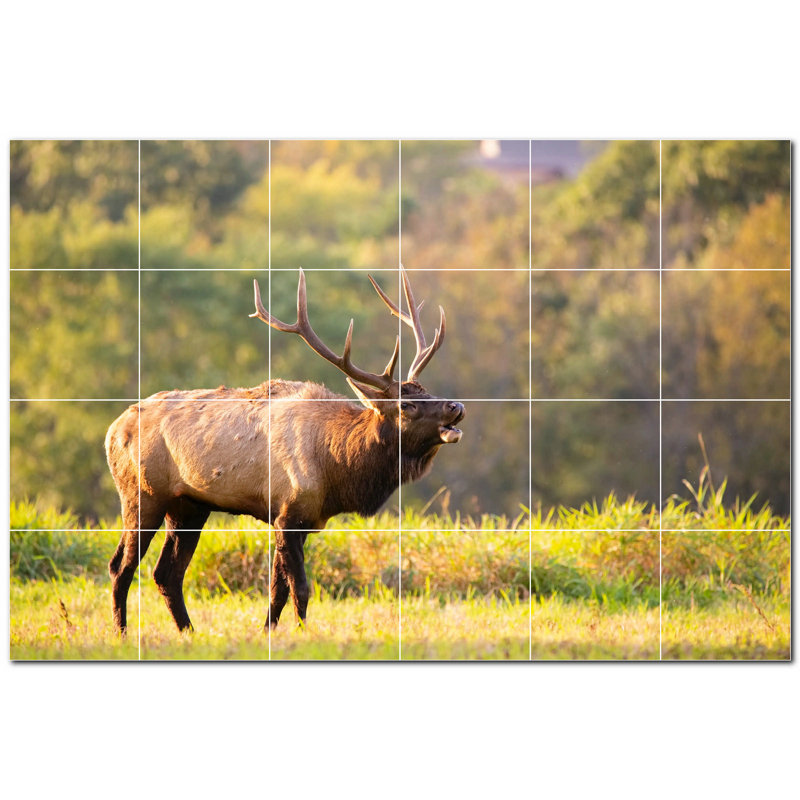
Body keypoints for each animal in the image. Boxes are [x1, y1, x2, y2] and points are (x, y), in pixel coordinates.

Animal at [105, 267, 465, 634]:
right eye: (406, 405)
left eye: (427, 391)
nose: (457, 406)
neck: (337, 469)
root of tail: (112, 430)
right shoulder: (288, 513)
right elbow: (300, 587)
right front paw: (302, 633)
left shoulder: (302, 519)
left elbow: (278, 589)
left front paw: (268, 631)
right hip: (141, 494)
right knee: (121, 566)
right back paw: (122, 632)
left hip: (189, 506)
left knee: (166, 573)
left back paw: (188, 632)